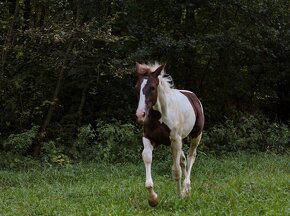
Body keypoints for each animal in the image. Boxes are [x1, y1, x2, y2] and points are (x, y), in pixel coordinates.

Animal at [135, 62, 205, 206]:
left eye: (152, 87)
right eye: (137, 87)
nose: (140, 115)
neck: (159, 116)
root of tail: (193, 96)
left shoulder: (175, 140)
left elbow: (176, 170)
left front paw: (180, 196)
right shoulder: (149, 138)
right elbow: (147, 158)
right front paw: (153, 199)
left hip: (196, 135)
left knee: (191, 156)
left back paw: (187, 188)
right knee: (183, 159)